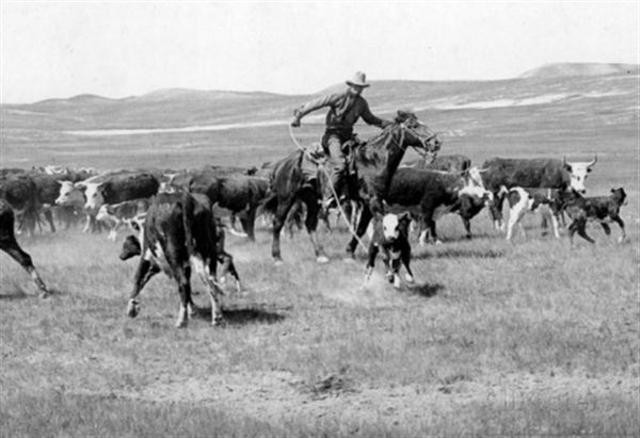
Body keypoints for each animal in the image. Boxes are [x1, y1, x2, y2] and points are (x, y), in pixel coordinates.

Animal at [120, 192, 225, 328]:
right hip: (207, 252)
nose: (121, 256)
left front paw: (131, 308)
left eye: (125, 244)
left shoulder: (147, 257)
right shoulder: (184, 264)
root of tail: (184, 198)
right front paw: (192, 310)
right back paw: (217, 317)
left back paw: (181, 321)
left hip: (172, 254)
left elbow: (138, 278)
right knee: (210, 281)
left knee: (184, 282)